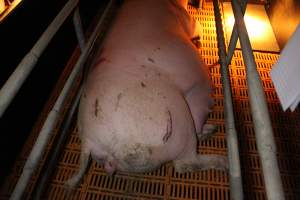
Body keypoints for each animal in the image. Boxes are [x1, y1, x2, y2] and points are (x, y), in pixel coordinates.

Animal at [64, 0, 226, 189]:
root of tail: (89, 140)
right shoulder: (186, 18)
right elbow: (197, 27)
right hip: (174, 117)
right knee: (184, 163)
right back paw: (223, 160)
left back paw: (211, 130)